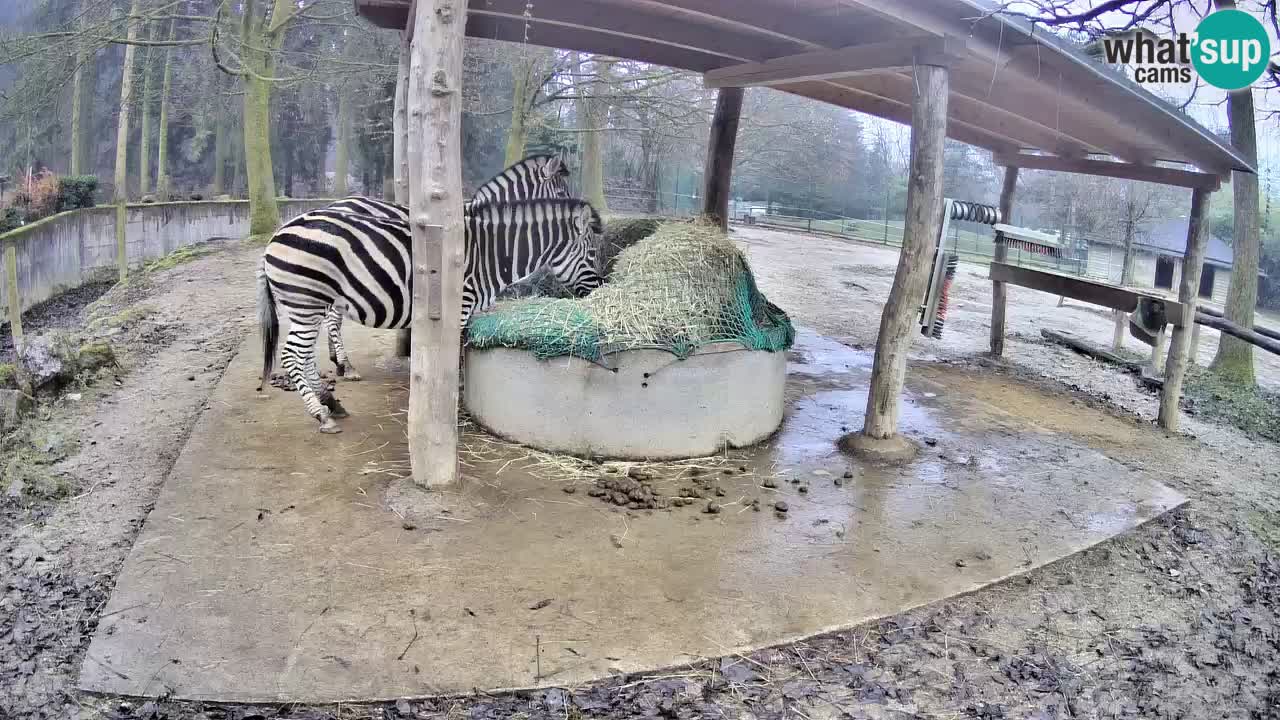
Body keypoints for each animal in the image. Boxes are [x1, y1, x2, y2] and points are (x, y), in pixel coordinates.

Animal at [257, 198, 603, 433]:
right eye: (592, 254)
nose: (600, 289)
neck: (489, 255)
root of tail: (275, 235)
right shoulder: (459, 307)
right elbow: (453, 357)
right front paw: (451, 403)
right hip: (307, 300)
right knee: (291, 355)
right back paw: (321, 413)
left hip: (308, 305)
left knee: (305, 356)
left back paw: (331, 402)